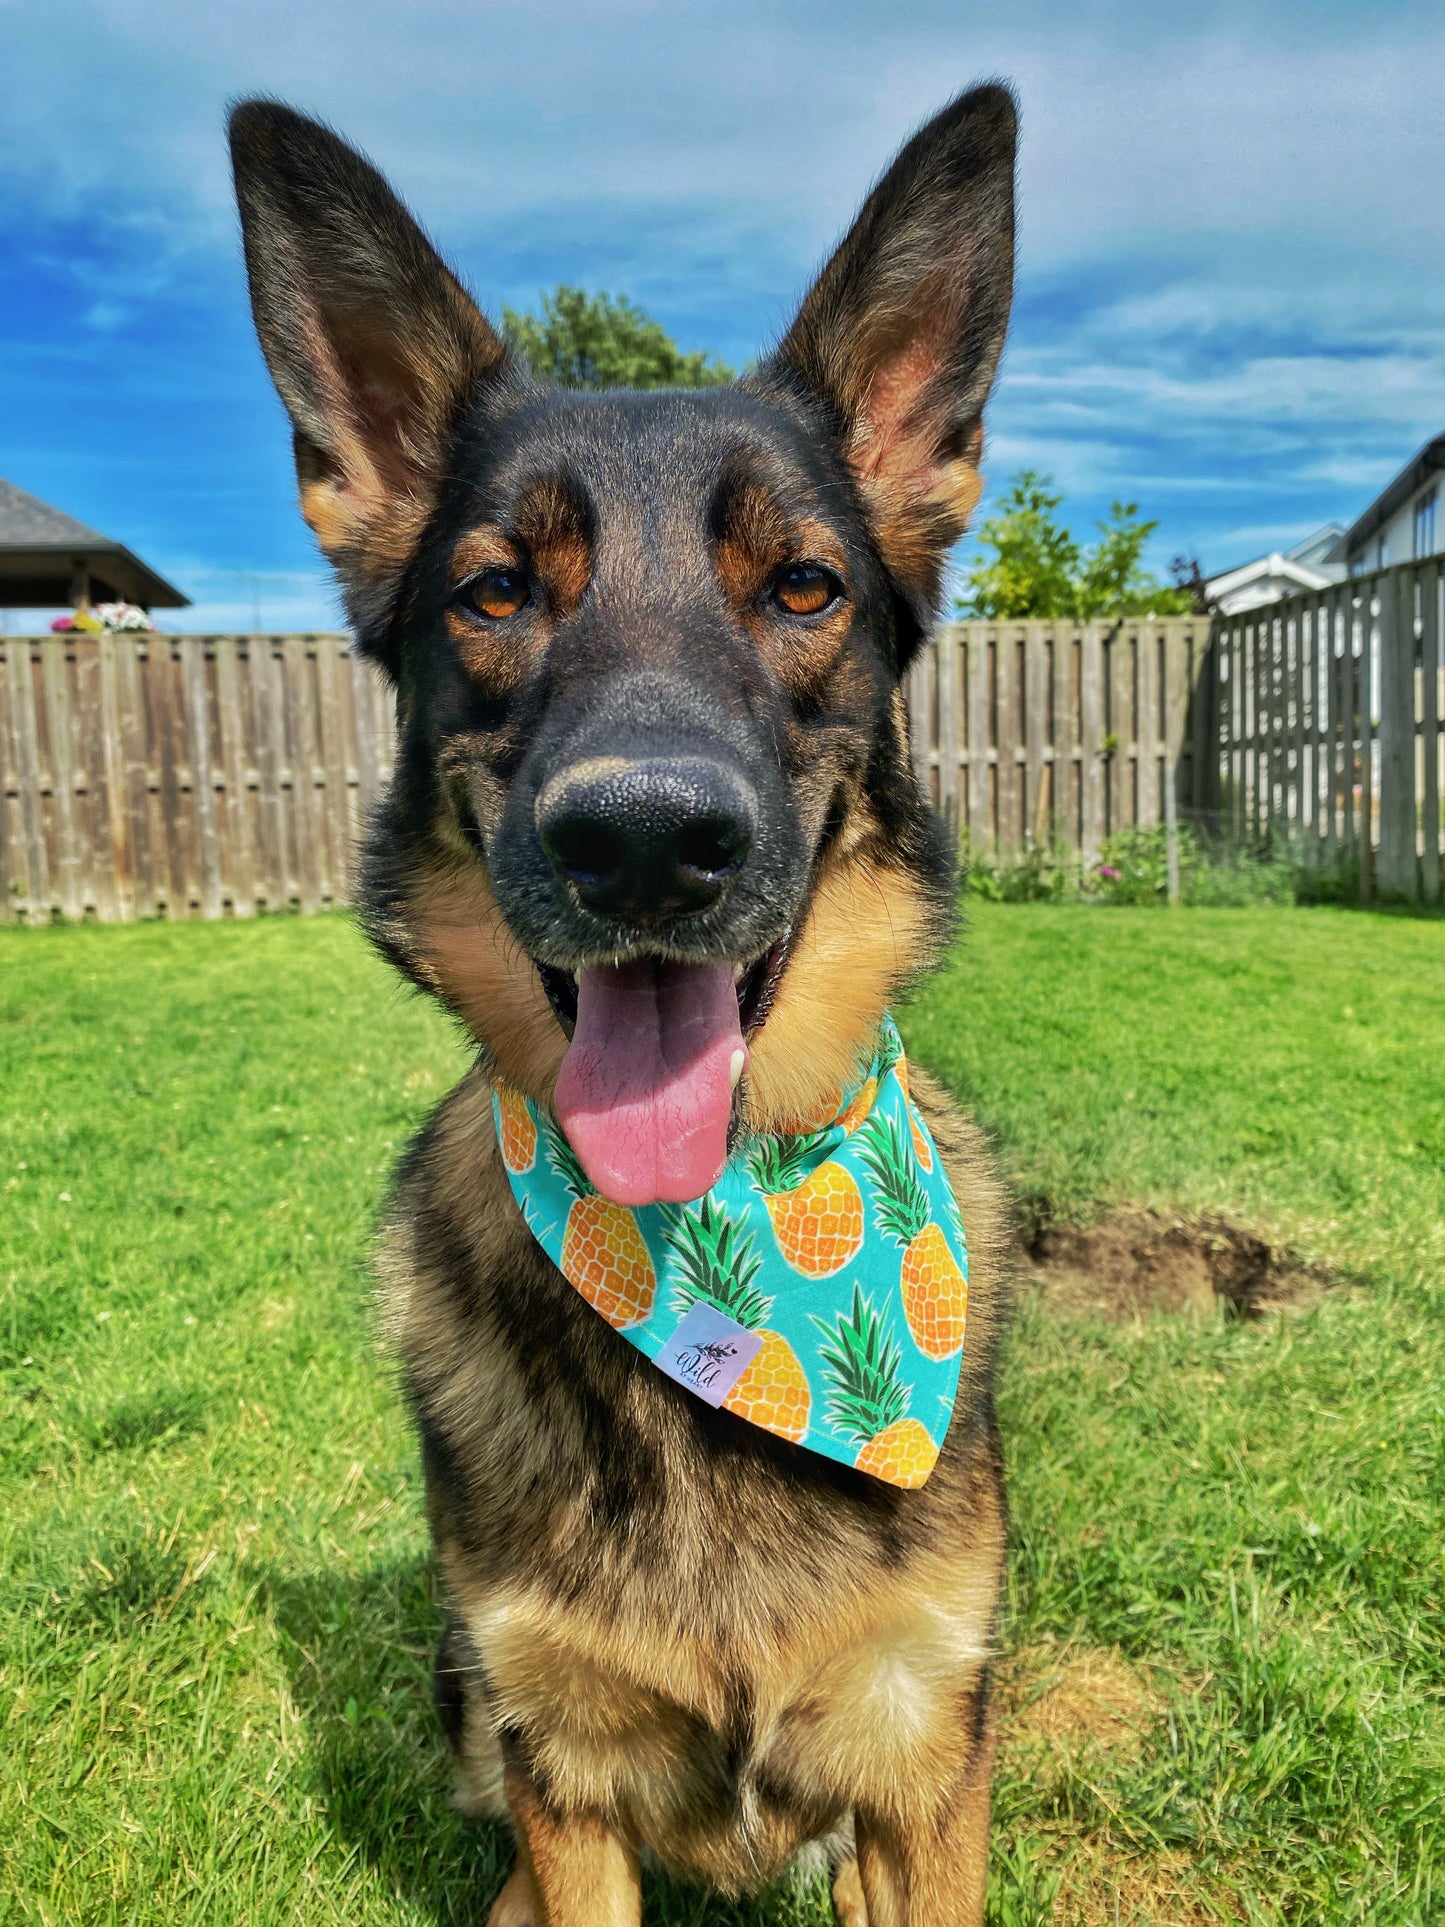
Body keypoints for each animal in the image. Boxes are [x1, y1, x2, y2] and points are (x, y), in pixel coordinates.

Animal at [229, 86, 1017, 1927]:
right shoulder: (564, 1781)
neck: (720, 1261)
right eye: (496, 593)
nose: (646, 843)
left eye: (801, 588)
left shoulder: (919, 1766)